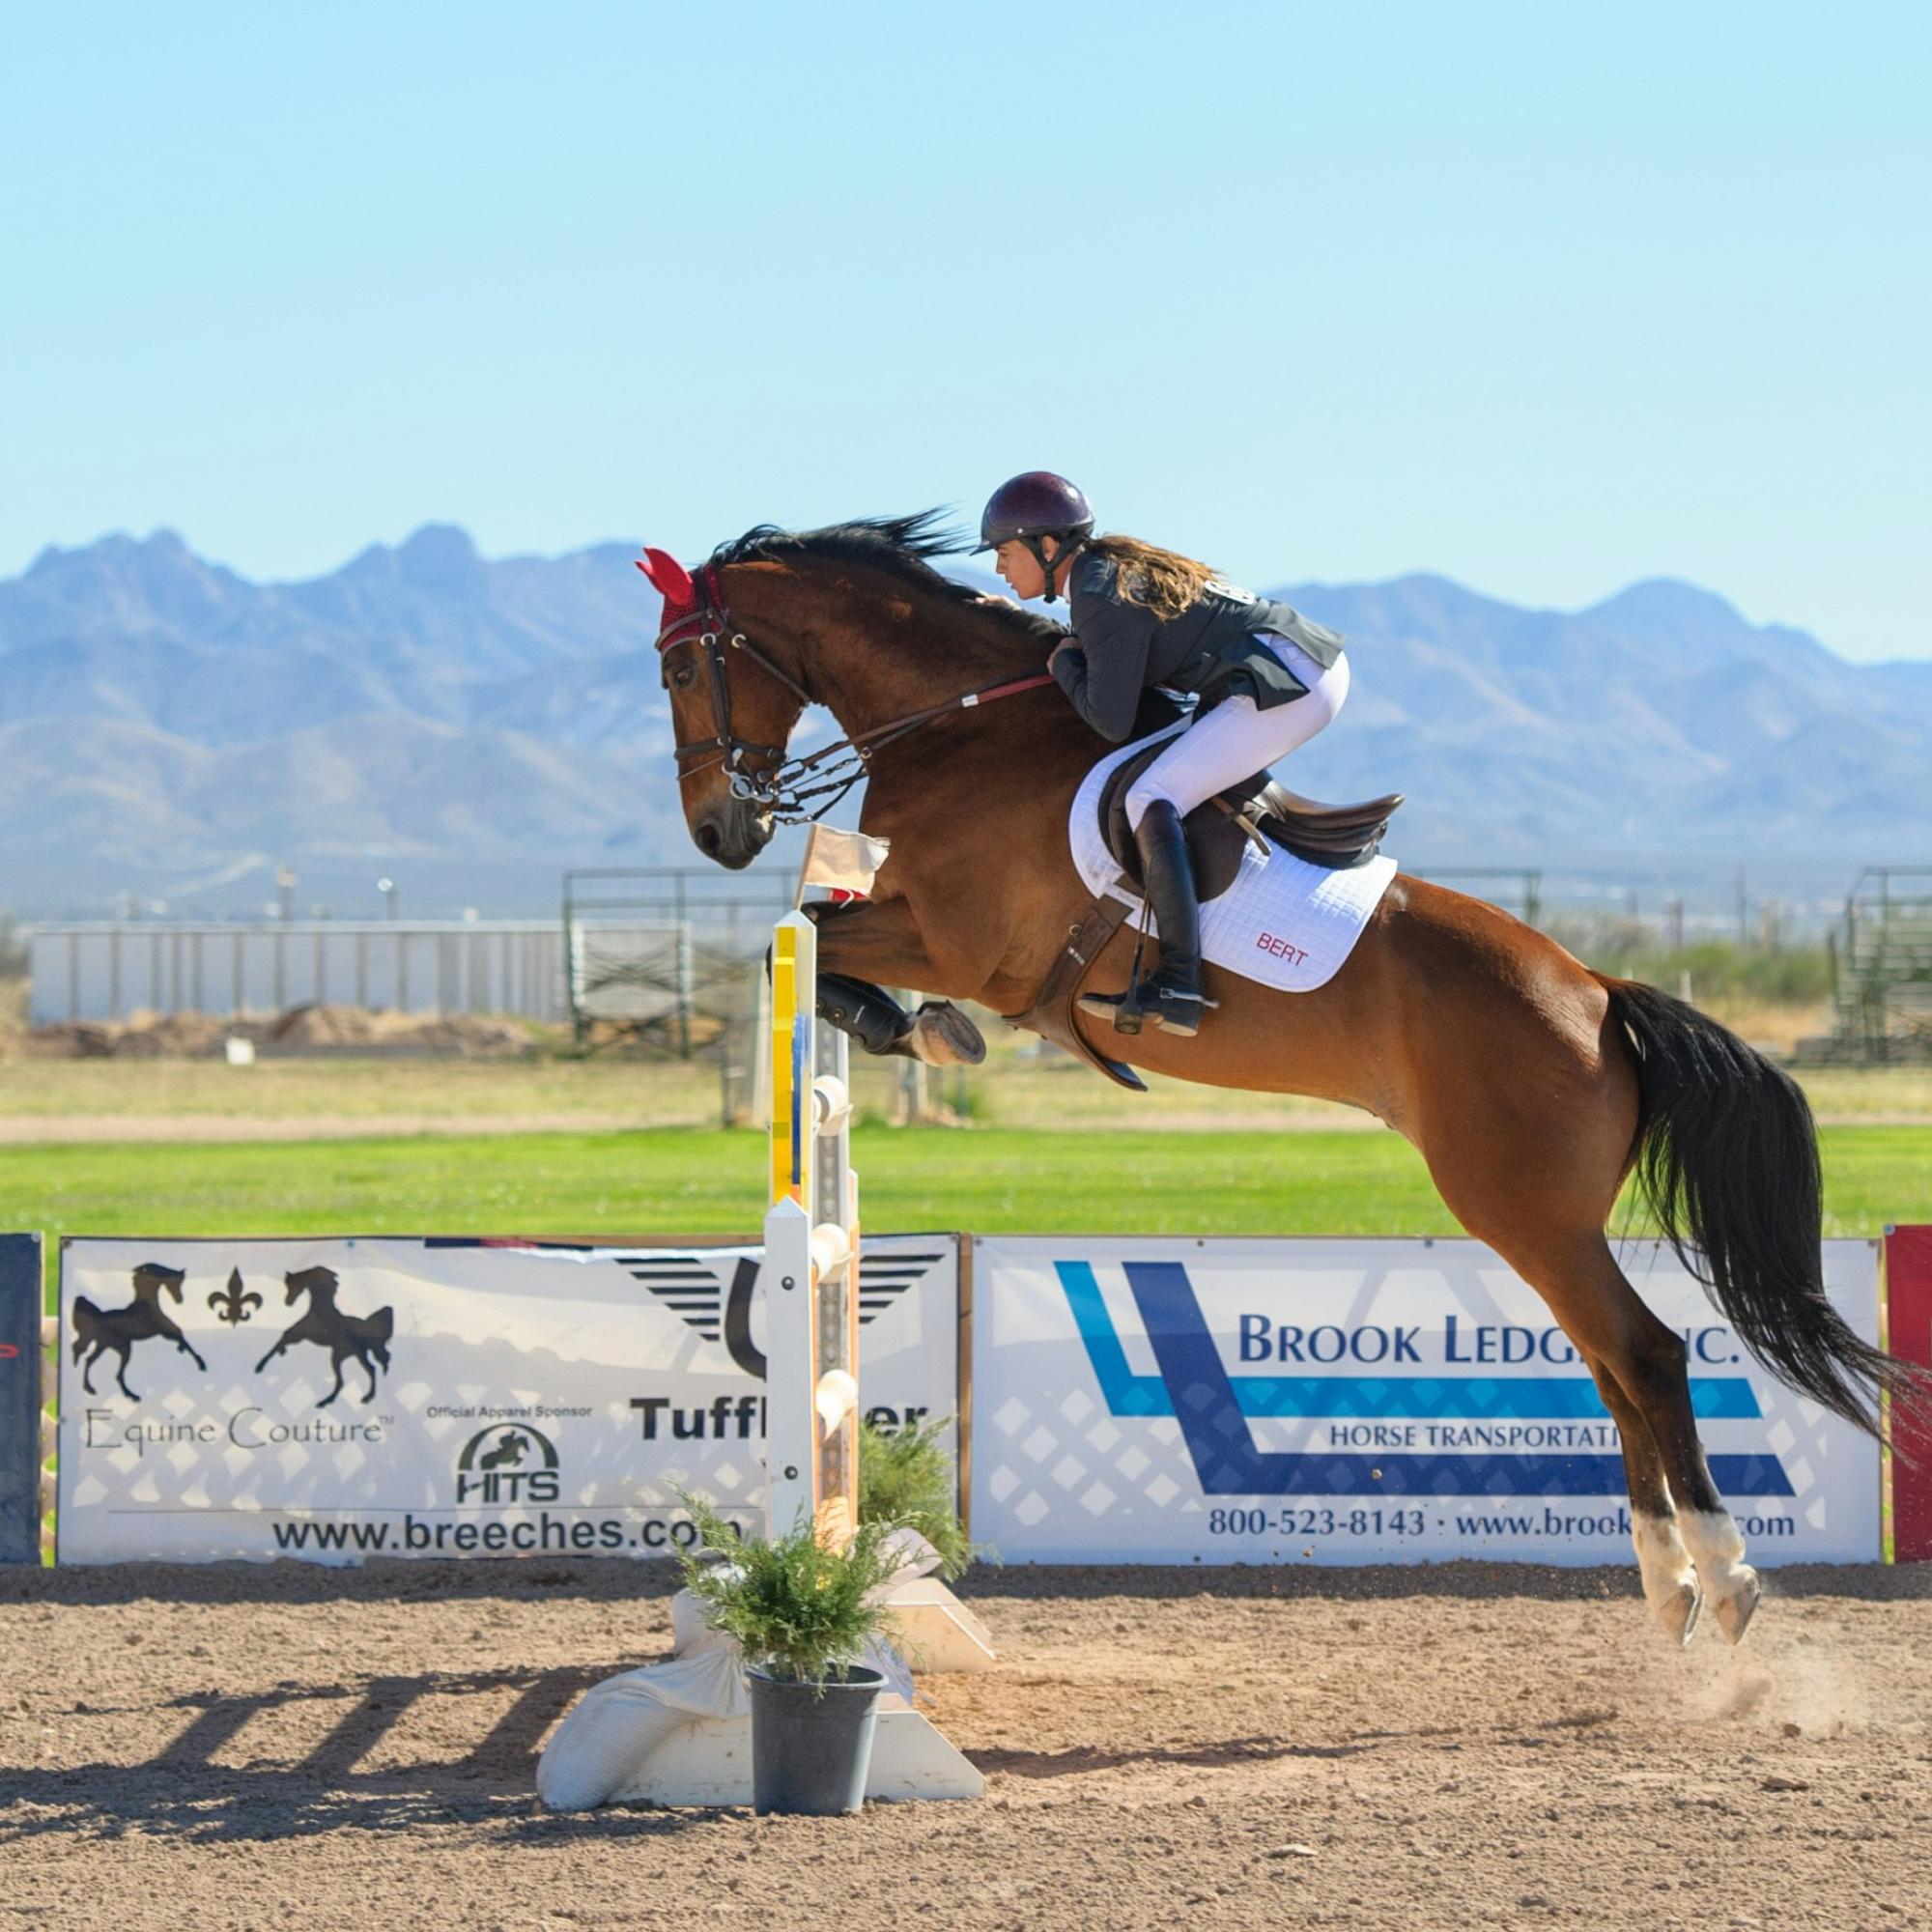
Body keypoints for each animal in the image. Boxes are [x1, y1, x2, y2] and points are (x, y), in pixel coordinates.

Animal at [71, 1262, 208, 1400]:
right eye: (177, 1282)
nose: (179, 1300)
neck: (147, 1305)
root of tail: (95, 1321)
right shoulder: (163, 1330)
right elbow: (180, 1334)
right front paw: (200, 1363)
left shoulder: (164, 1332)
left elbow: (180, 1334)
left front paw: (182, 1350)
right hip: (123, 1348)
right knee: (115, 1373)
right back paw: (130, 1395)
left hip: (105, 1346)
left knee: (90, 1360)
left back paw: (94, 1389)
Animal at [254, 1266, 394, 1408]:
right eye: (287, 1285)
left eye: (293, 1284)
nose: (288, 1302)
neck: (320, 1311)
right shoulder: (299, 1334)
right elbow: (284, 1337)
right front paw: (276, 1355)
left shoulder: (302, 1333)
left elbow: (284, 1338)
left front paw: (260, 1366)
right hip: (353, 1355)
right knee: (370, 1369)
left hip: (340, 1356)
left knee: (348, 1379)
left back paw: (329, 1401)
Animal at [643, 510, 1926, 1649]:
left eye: (681, 665)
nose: (716, 830)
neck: (954, 729)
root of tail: (1598, 993)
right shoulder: (923, 927)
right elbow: (812, 940)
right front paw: (908, 1027)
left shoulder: (959, 939)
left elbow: (806, 939)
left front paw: (908, 1023)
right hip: (1544, 1217)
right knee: (1614, 1368)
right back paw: (1666, 1589)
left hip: (1519, 1205)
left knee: (1648, 1355)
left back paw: (1725, 1577)